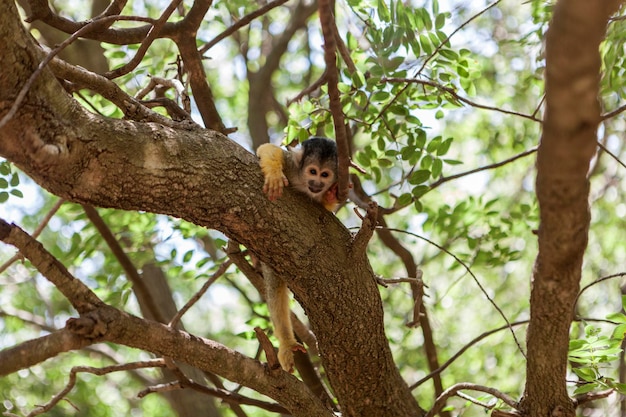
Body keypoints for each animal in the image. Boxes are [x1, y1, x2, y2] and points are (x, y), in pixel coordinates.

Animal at [256, 136, 338, 370]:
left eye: (325, 175)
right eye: (312, 171)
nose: (317, 184)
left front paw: (330, 197)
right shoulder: (292, 165)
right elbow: (267, 149)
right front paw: (274, 172)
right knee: (275, 288)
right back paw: (287, 344)